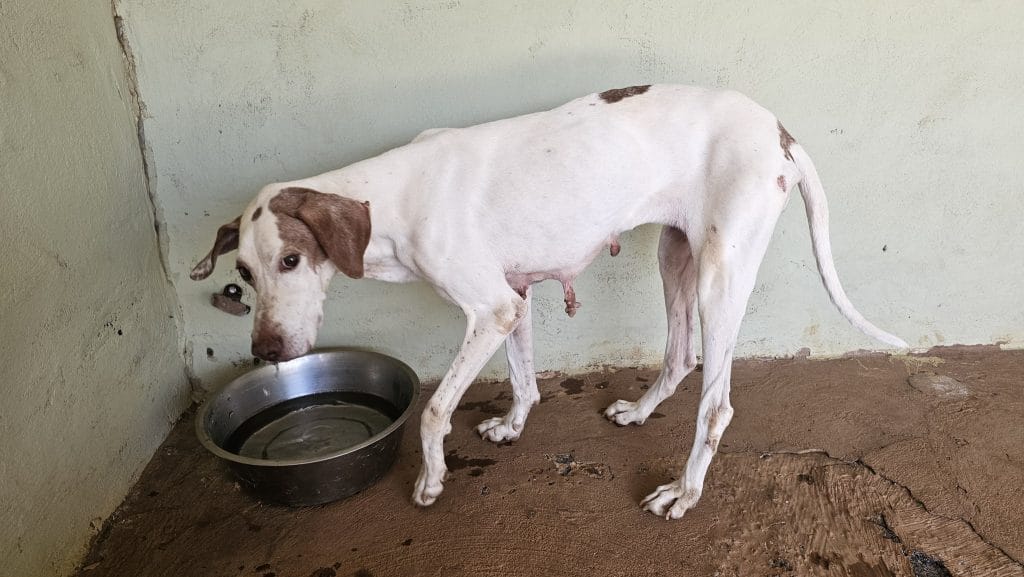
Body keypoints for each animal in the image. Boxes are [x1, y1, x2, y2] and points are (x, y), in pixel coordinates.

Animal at [191, 84, 907, 519]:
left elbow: (433, 412)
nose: (267, 350)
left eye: (291, 260)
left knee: (718, 406)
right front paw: (512, 425)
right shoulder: (512, 299)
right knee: (679, 357)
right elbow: (524, 377)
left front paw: (430, 480)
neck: (393, 195)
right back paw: (640, 411)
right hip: (675, 254)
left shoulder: (488, 310)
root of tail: (779, 129)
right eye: (245, 273)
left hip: (720, 277)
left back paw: (684, 492)